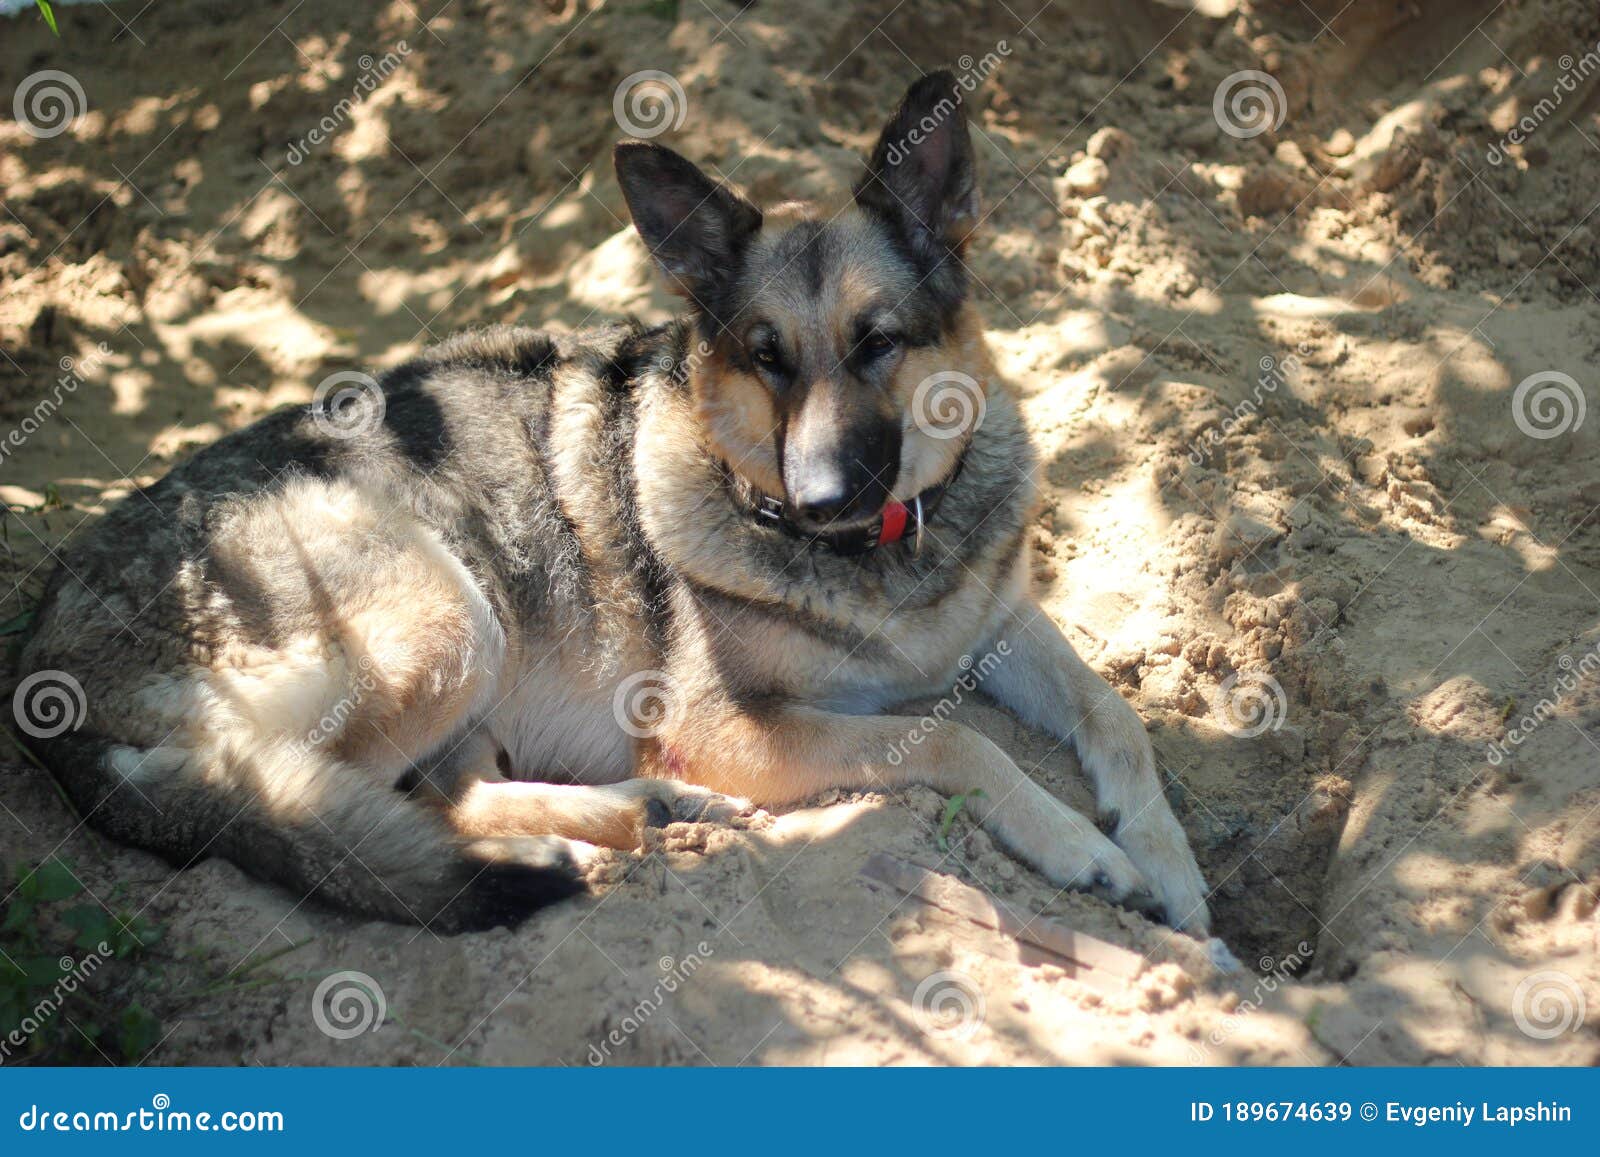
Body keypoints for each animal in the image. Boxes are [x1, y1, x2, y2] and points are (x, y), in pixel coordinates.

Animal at [18, 72, 1203, 934]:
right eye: (765, 356)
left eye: (878, 342)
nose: (819, 498)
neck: (883, 558)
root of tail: (40, 647)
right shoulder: (733, 726)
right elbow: (947, 739)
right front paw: (1082, 844)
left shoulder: (999, 625)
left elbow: (1115, 710)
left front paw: (1168, 859)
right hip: (447, 610)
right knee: (329, 797)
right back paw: (600, 823)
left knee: (431, 790)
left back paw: (638, 810)